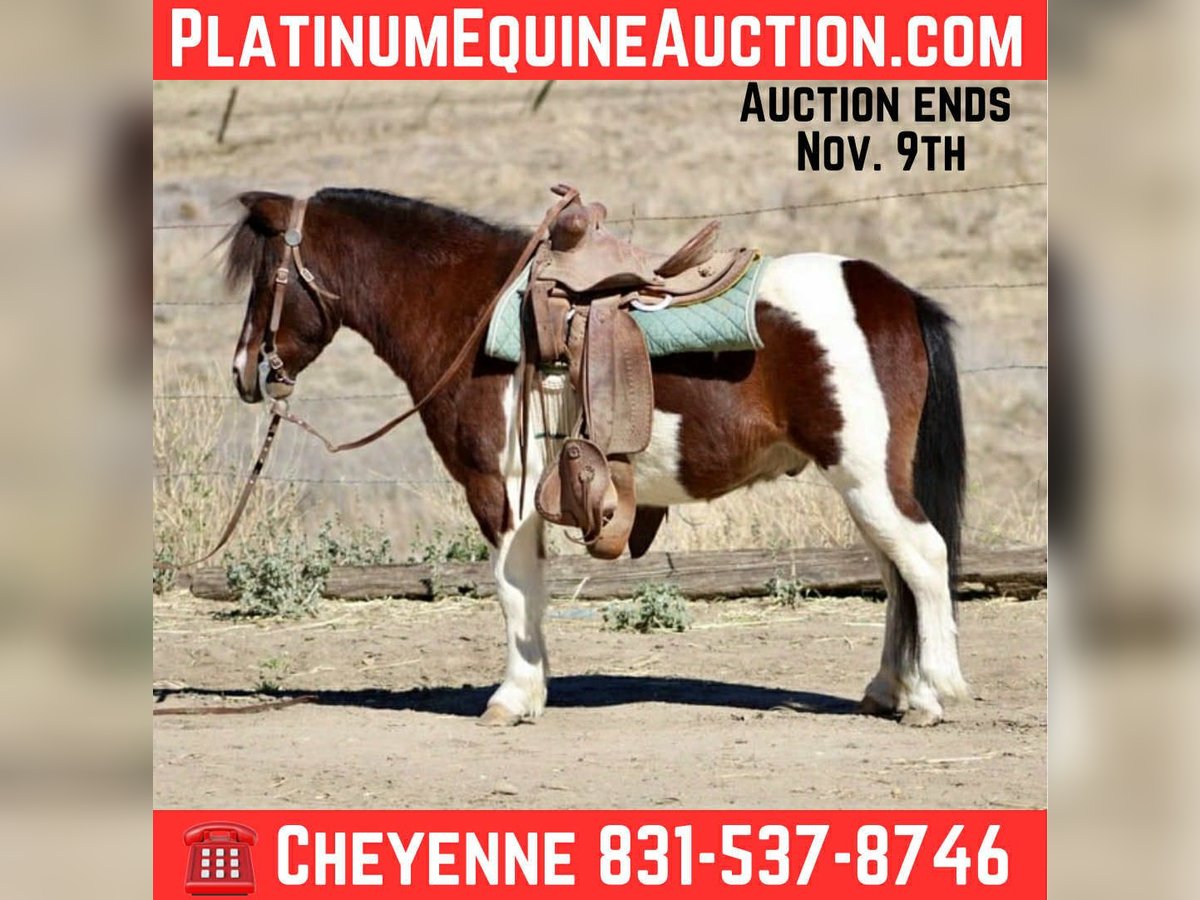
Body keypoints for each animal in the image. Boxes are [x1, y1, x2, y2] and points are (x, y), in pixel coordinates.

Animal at [224, 186, 969, 727]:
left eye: (265, 279)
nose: (244, 370)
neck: (471, 313)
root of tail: (897, 298)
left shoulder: (502, 492)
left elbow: (514, 590)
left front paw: (512, 699)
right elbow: (528, 592)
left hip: (867, 478)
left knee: (922, 560)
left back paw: (935, 693)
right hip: (865, 486)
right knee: (897, 574)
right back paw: (890, 691)